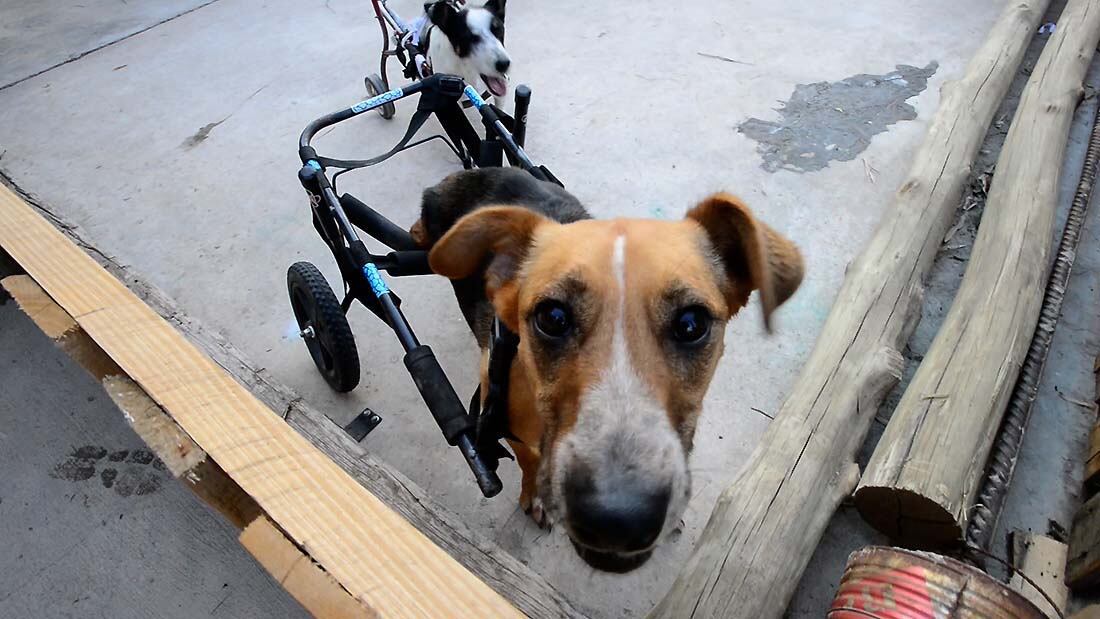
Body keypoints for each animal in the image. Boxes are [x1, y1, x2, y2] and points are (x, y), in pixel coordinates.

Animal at [413, 168, 800, 571]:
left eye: (691, 324)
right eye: (552, 318)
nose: (618, 521)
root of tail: (474, 170)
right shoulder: (511, 427)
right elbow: (530, 462)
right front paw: (534, 496)